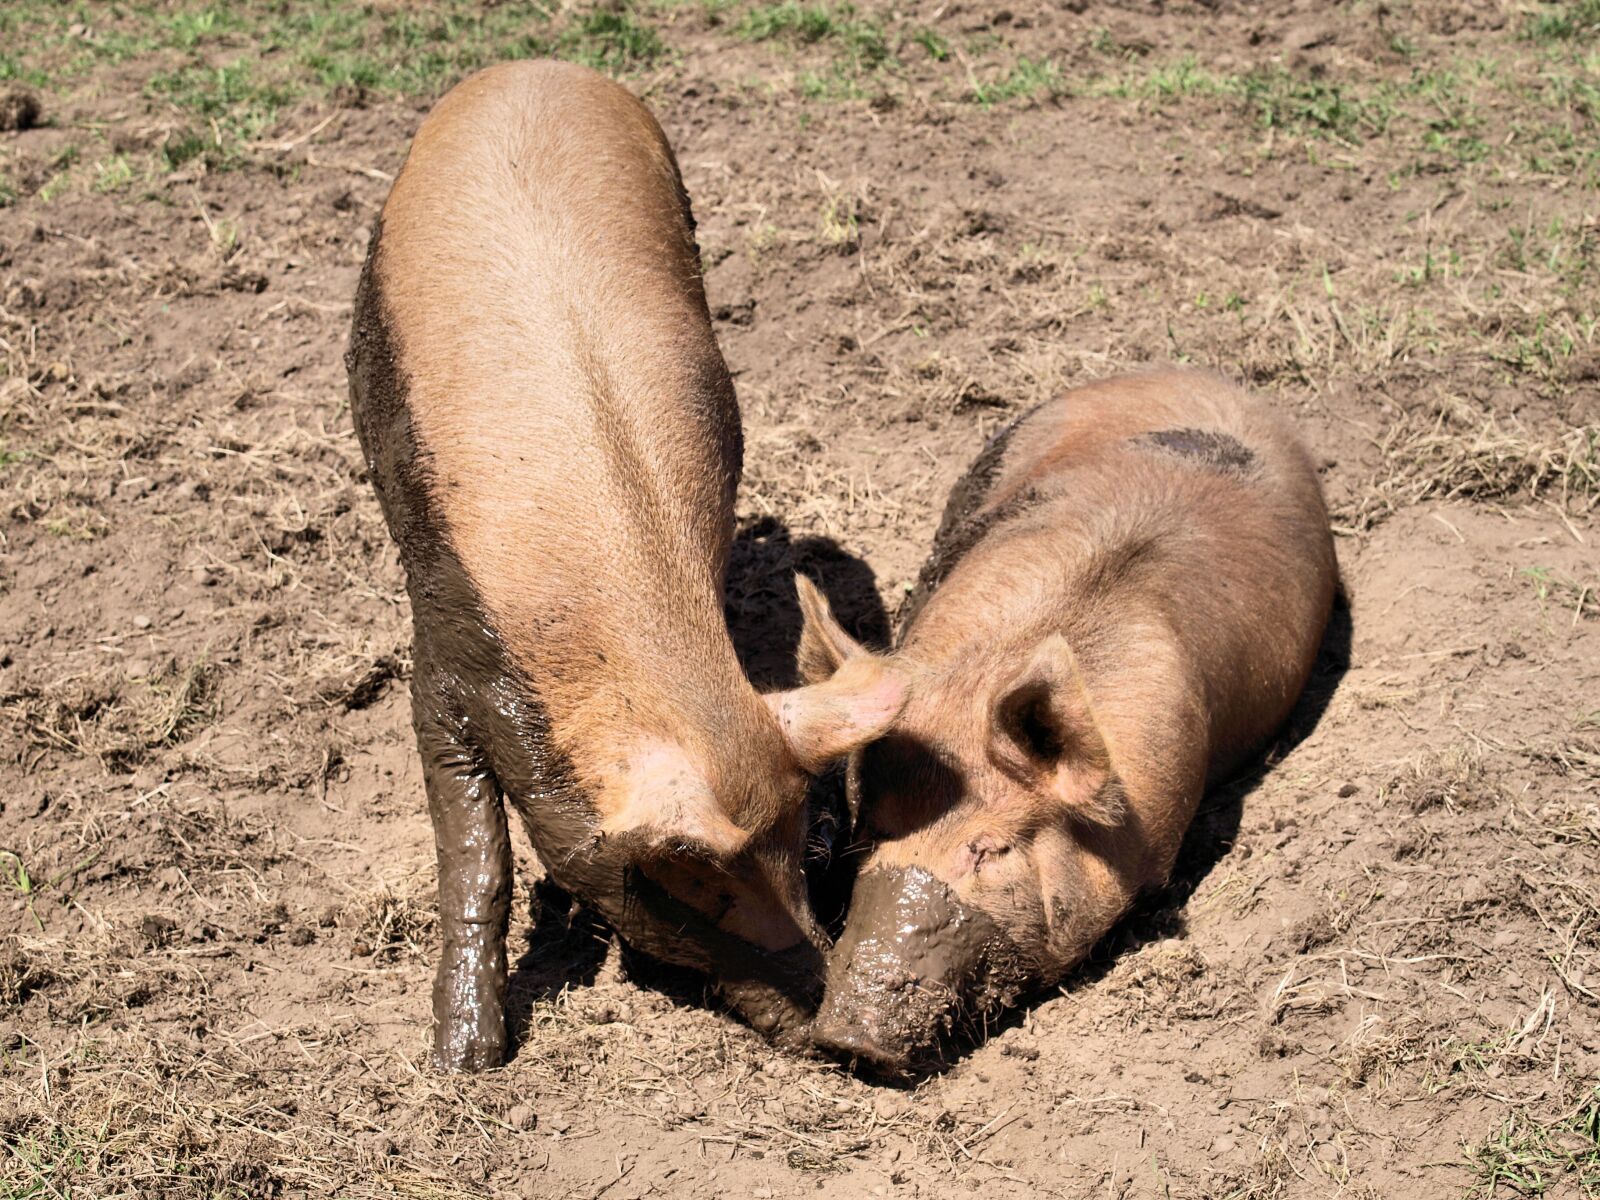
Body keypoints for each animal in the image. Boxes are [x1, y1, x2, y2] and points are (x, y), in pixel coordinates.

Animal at [346, 61, 904, 1071]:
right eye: (679, 885)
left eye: (805, 850)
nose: (830, 1030)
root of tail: (532, 70)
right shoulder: (444, 645)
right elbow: (473, 846)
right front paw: (465, 1061)